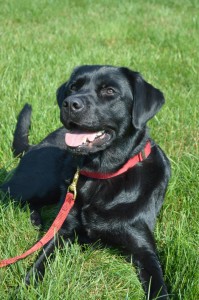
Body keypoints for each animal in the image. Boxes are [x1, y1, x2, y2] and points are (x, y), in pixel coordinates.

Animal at [0, 65, 170, 298]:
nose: (70, 103)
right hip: (37, 185)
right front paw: (24, 289)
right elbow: (39, 263)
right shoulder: (62, 232)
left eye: (109, 91)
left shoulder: (144, 248)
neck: (102, 175)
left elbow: (159, 285)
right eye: (73, 87)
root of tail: (36, 144)